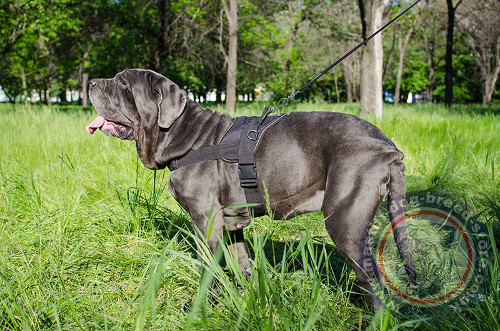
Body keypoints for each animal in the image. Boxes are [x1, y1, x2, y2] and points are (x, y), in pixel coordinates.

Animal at [88, 68, 416, 308]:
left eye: (123, 84)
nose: (90, 82)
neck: (185, 136)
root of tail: (389, 148)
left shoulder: (206, 221)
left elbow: (208, 268)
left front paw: (200, 307)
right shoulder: (232, 223)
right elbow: (240, 263)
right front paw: (244, 298)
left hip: (345, 223)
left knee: (376, 286)